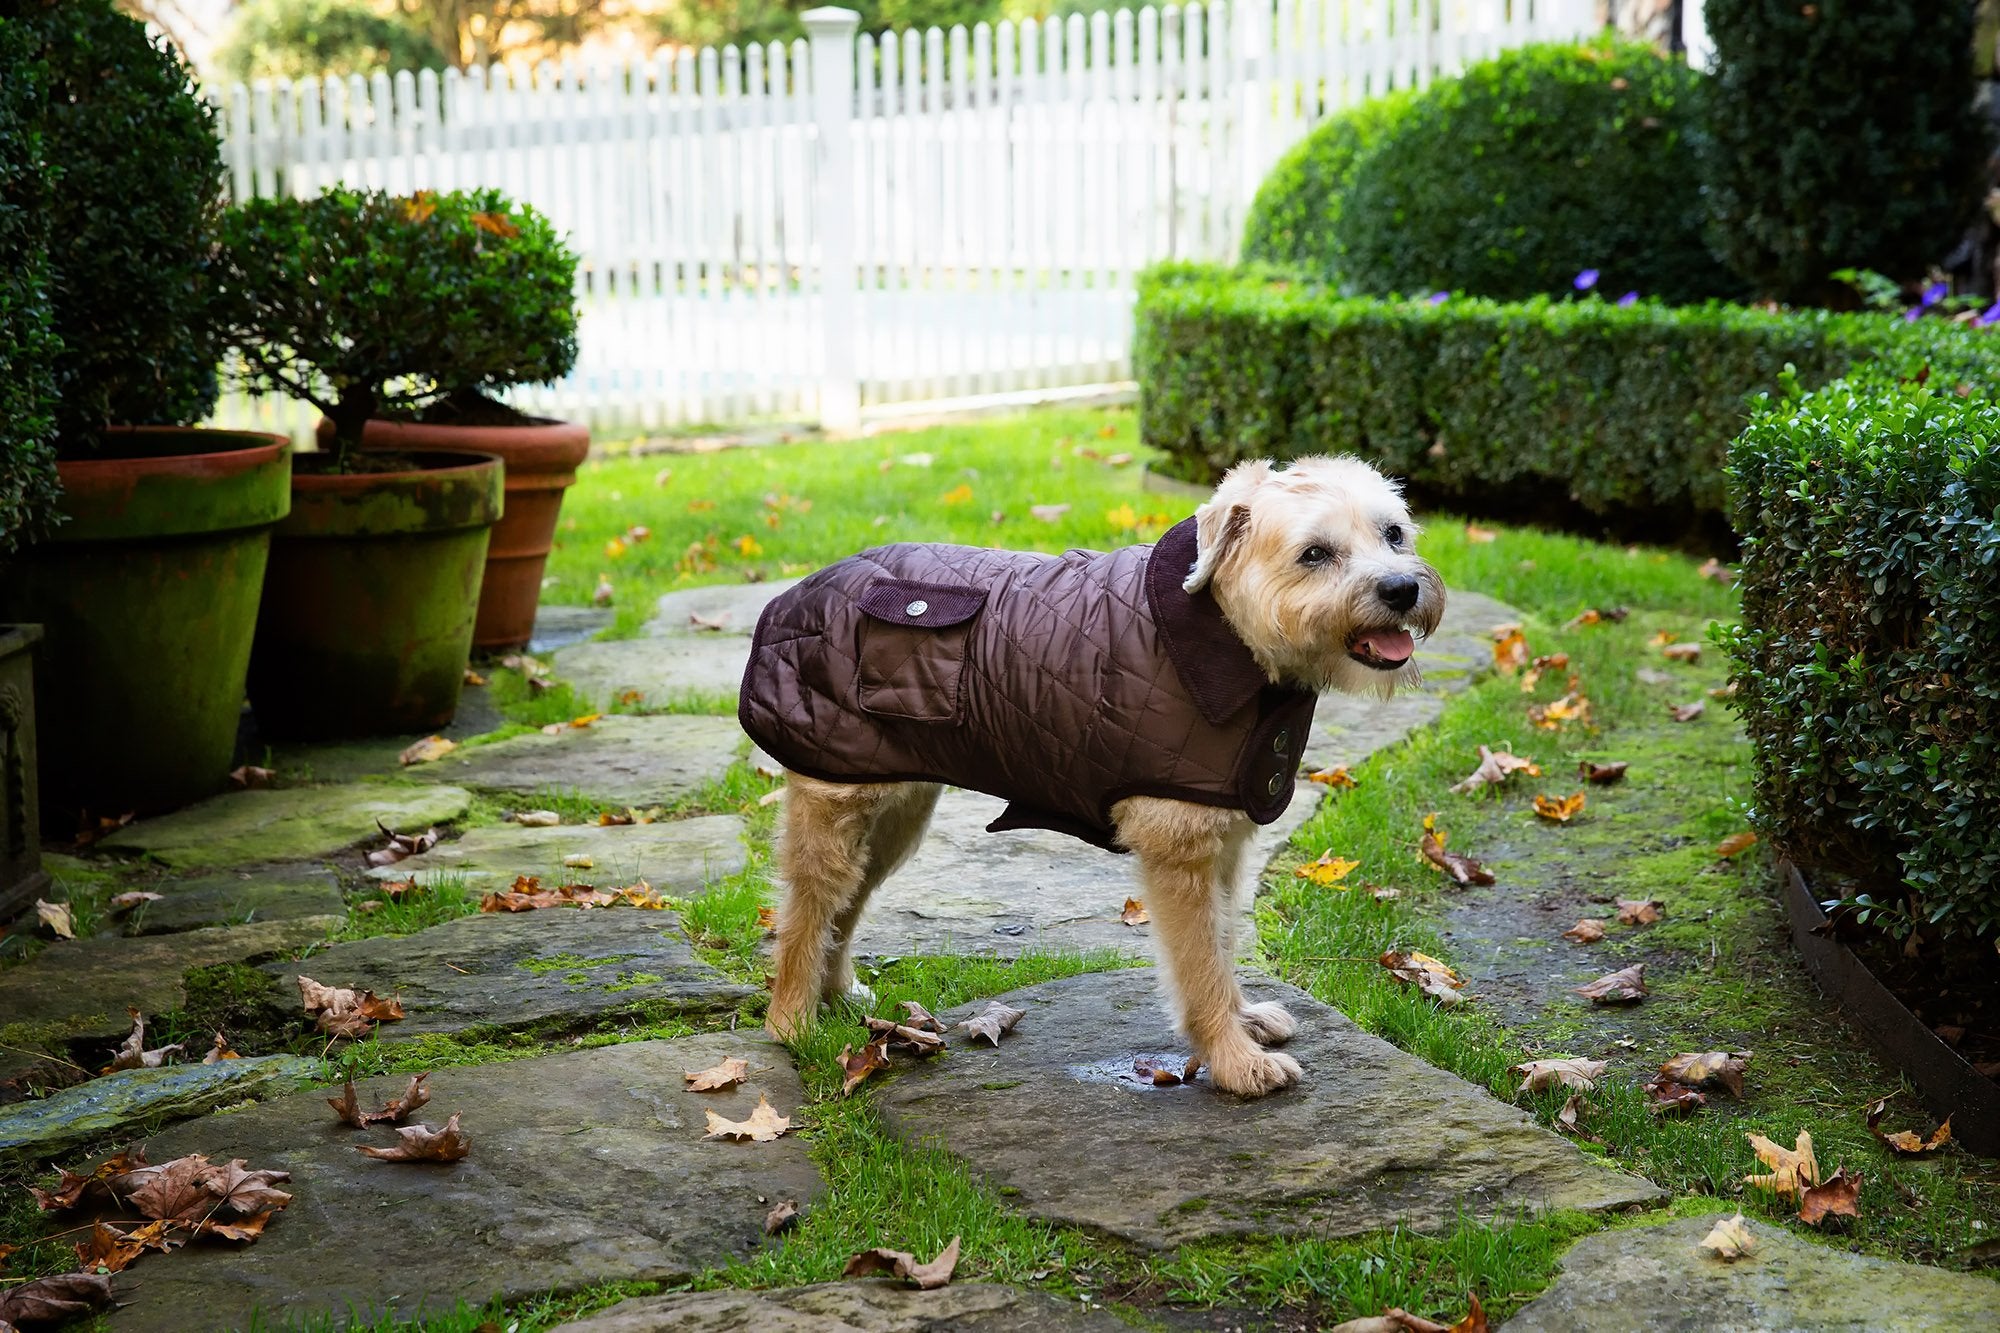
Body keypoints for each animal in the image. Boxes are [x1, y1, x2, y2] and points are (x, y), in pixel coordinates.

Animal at [744, 452, 1448, 1096]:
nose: (1401, 589)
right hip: (836, 809)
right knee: (808, 911)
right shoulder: (1180, 853)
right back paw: (793, 1022)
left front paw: (1243, 1021)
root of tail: (797, 592)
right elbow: (1201, 966)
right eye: (1315, 553)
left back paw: (839, 994)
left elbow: (1224, 941)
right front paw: (1234, 1060)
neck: (1225, 628)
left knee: (846, 904)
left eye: (1393, 533)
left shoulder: (1223, 845)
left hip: (896, 818)